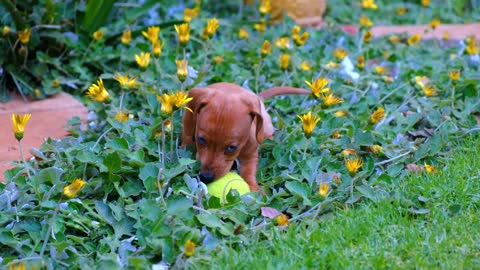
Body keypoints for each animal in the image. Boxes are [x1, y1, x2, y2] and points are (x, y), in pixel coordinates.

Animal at [182, 83, 310, 191]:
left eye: (232, 148)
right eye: (201, 140)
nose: (206, 177)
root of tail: (259, 97)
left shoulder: (250, 154)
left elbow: (248, 170)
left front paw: (253, 188)